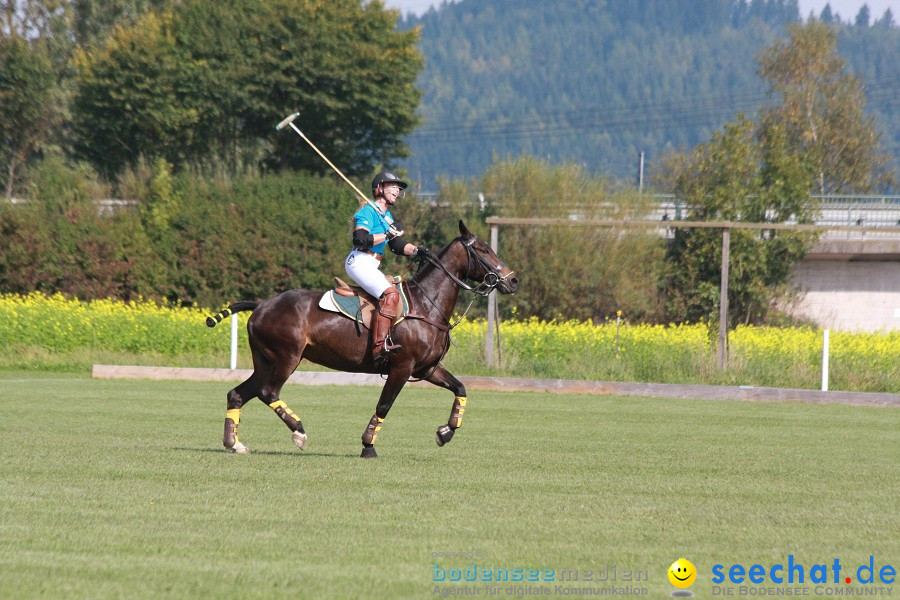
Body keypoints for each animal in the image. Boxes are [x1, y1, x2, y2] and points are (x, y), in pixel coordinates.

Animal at [203, 220, 512, 460]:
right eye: (483, 249)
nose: (513, 280)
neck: (427, 304)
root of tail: (260, 305)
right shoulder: (402, 366)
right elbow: (384, 405)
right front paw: (368, 446)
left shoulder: (427, 368)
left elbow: (460, 388)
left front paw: (445, 432)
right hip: (287, 357)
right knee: (268, 392)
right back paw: (299, 432)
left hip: (265, 361)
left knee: (238, 393)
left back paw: (235, 444)